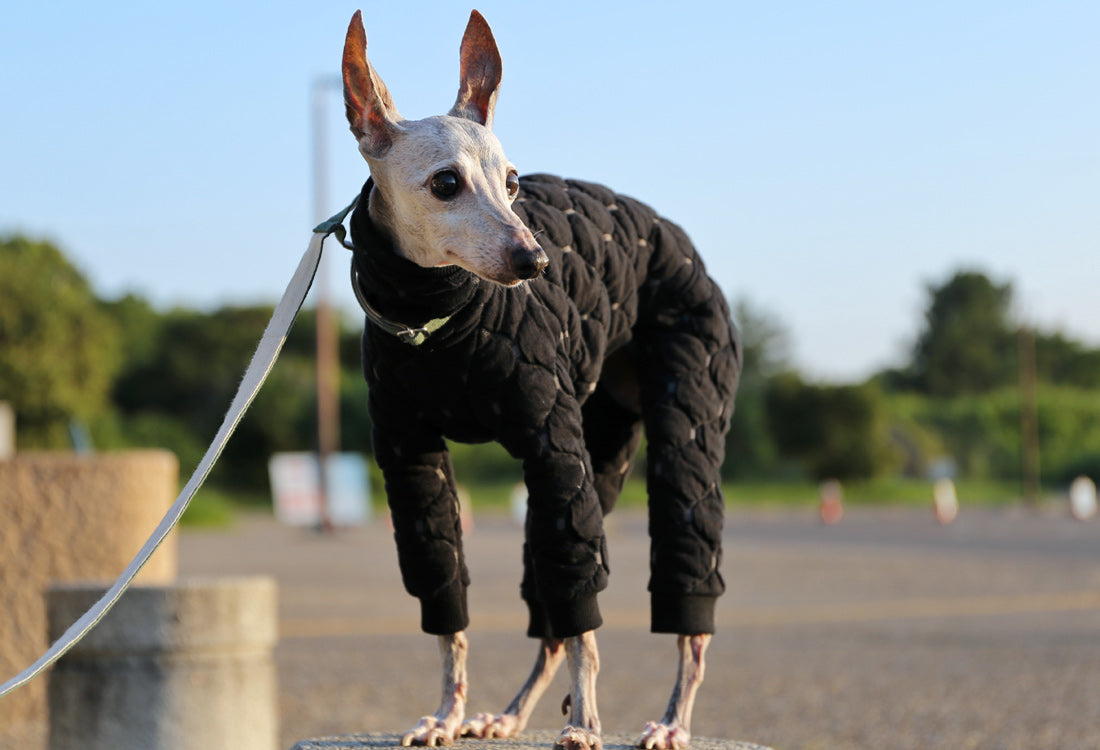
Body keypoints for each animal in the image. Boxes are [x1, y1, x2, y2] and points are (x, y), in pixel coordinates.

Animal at [338, 10, 743, 747]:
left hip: (683, 420)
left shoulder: (554, 453)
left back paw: (673, 719)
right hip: (600, 448)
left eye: (514, 181)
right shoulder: (413, 465)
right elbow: (447, 601)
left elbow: (583, 609)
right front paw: (447, 712)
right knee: (550, 615)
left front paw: (584, 724)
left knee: (681, 591)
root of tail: (672, 235)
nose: (537, 261)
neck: (439, 324)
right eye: (445, 183)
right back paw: (509, 712)